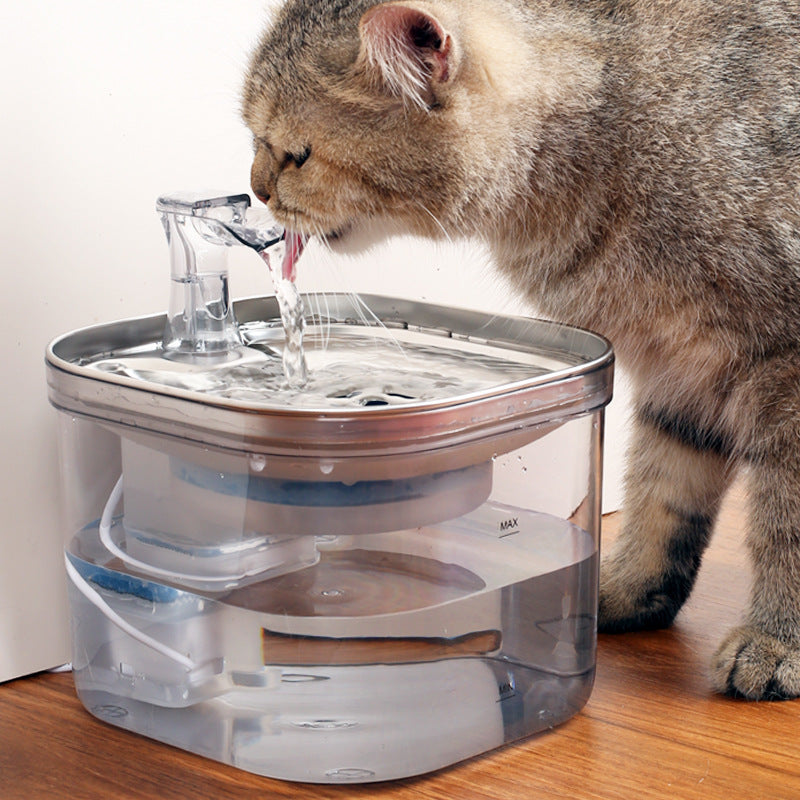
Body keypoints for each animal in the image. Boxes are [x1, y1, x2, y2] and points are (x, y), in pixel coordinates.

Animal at [242, 0, 800, 700]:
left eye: (297, 155)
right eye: (253, 139)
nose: (254, 189)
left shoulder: (779, 359)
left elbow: (785, 522)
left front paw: (778, 641)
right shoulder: (679, 370)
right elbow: (662, 493)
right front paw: (621, 591)